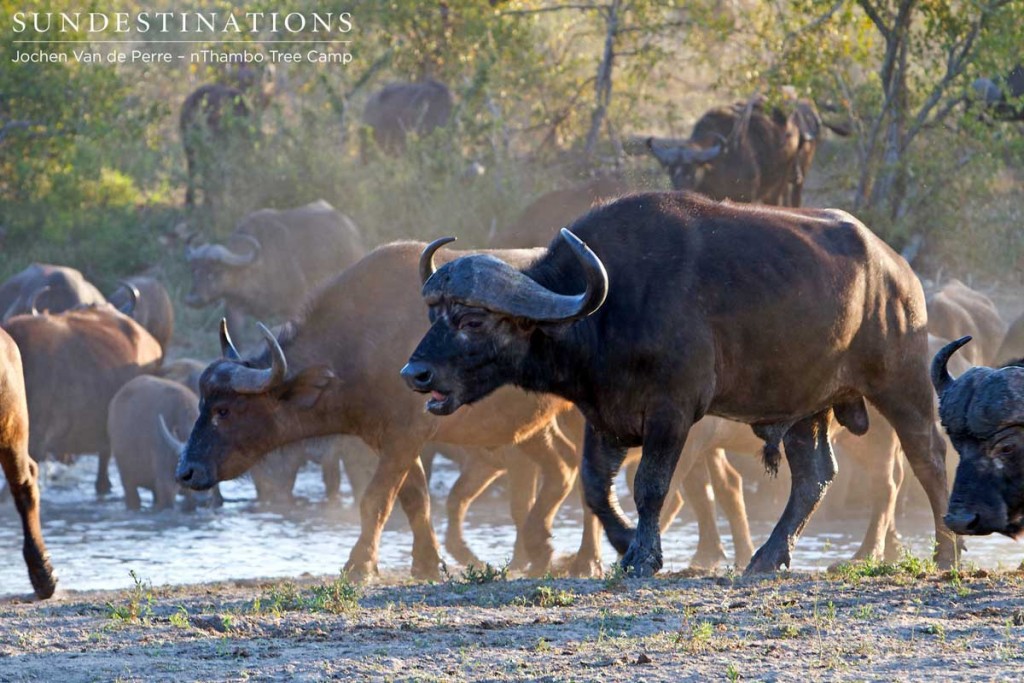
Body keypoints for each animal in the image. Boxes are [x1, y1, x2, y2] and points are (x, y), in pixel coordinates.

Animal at [403, 192, 954, 577]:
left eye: (472, 319)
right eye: (433, 313)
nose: (415, 374)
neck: (608, 308)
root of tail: (898, 272)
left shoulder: (672, 412)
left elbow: (649, 485)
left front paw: (643, 557)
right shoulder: (603, 414)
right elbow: (594, 488)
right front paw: (624, 543)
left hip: (902, 383)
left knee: (927, 457)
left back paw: (946, 553)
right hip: (807, 408)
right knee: (814, 476)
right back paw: (766, 557)